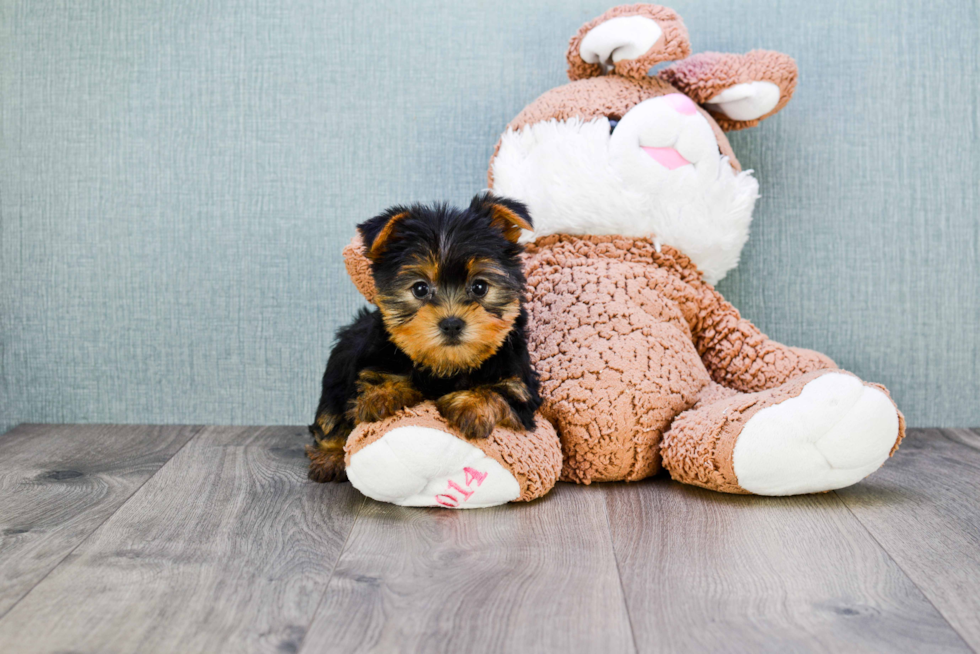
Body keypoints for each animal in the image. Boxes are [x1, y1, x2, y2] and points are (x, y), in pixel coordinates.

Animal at [308, 192, 544, 484]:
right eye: (420, 289)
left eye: (479, 286)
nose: (452, 324)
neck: (446, 365)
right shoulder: (372, 362)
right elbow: (378, 378)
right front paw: (381, 396)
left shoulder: (519, 384)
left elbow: (501, 392)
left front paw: (471, 406)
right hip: (337, 370)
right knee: (329, 414)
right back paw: (329, 457)